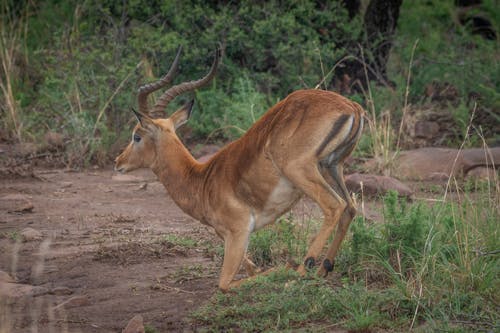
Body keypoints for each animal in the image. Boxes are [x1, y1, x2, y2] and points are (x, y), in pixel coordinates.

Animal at [114, 46, 364, 290]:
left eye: (137, 136)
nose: (118, 162)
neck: (201, 181)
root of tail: (353, 108)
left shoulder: (238, 231)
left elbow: (225, 284)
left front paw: (285, 267)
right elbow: (252, 269)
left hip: (300, 171)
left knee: (334, 206)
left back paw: (300, 273)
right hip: (331, 167)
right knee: (349, 208)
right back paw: (323, 269)